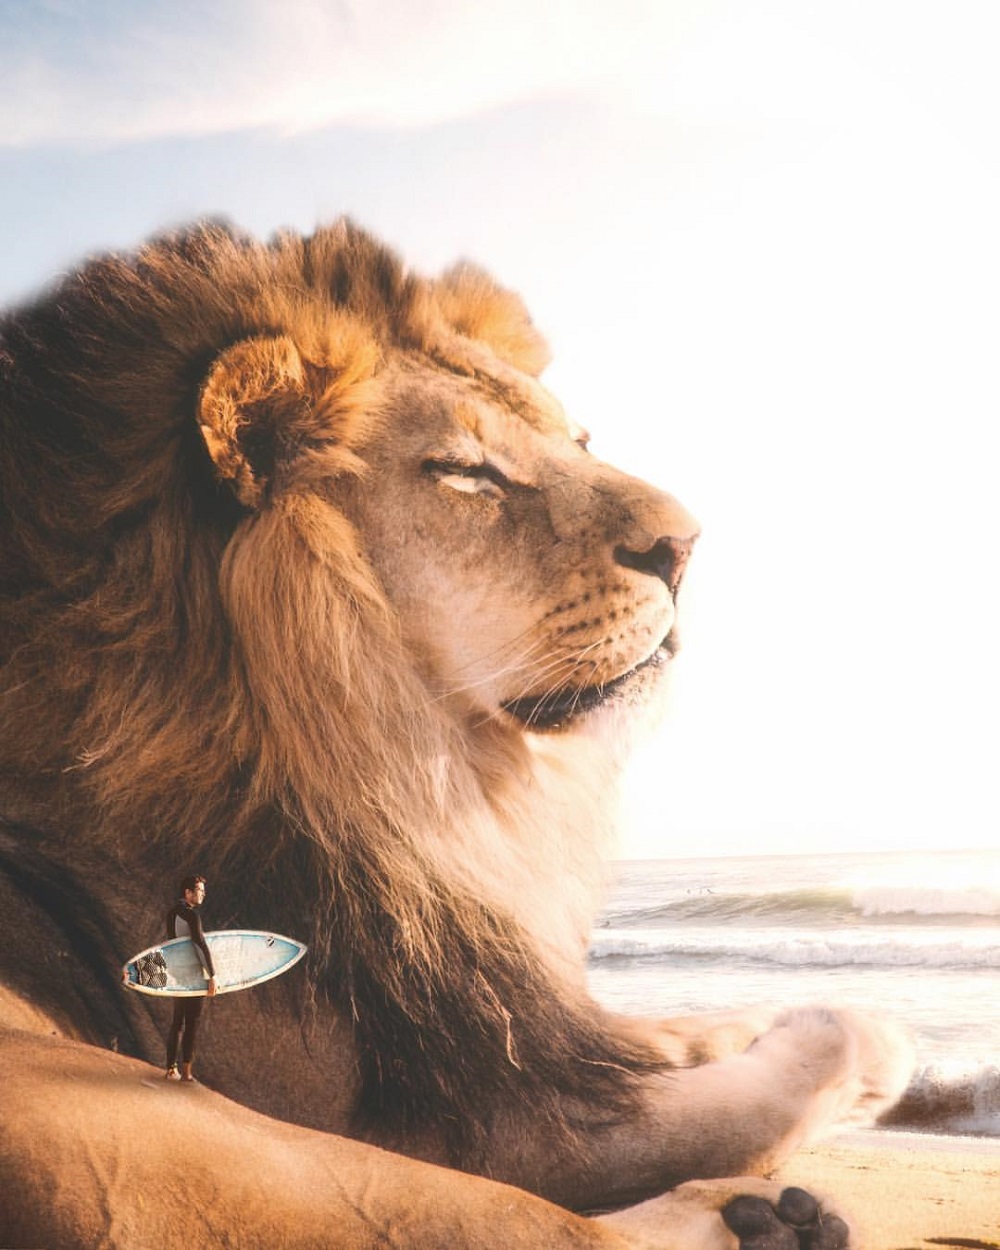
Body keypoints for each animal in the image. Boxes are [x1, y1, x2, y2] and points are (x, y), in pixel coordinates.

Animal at [0, 220, 913, 1249]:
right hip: (179, 1133)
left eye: (577, 441)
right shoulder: (465, 1123)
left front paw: (726, 1027)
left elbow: (638, 1037)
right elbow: (741, 1101)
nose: (688, 546)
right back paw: (770, 1218)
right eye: (470, 473)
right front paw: (863, 1035)